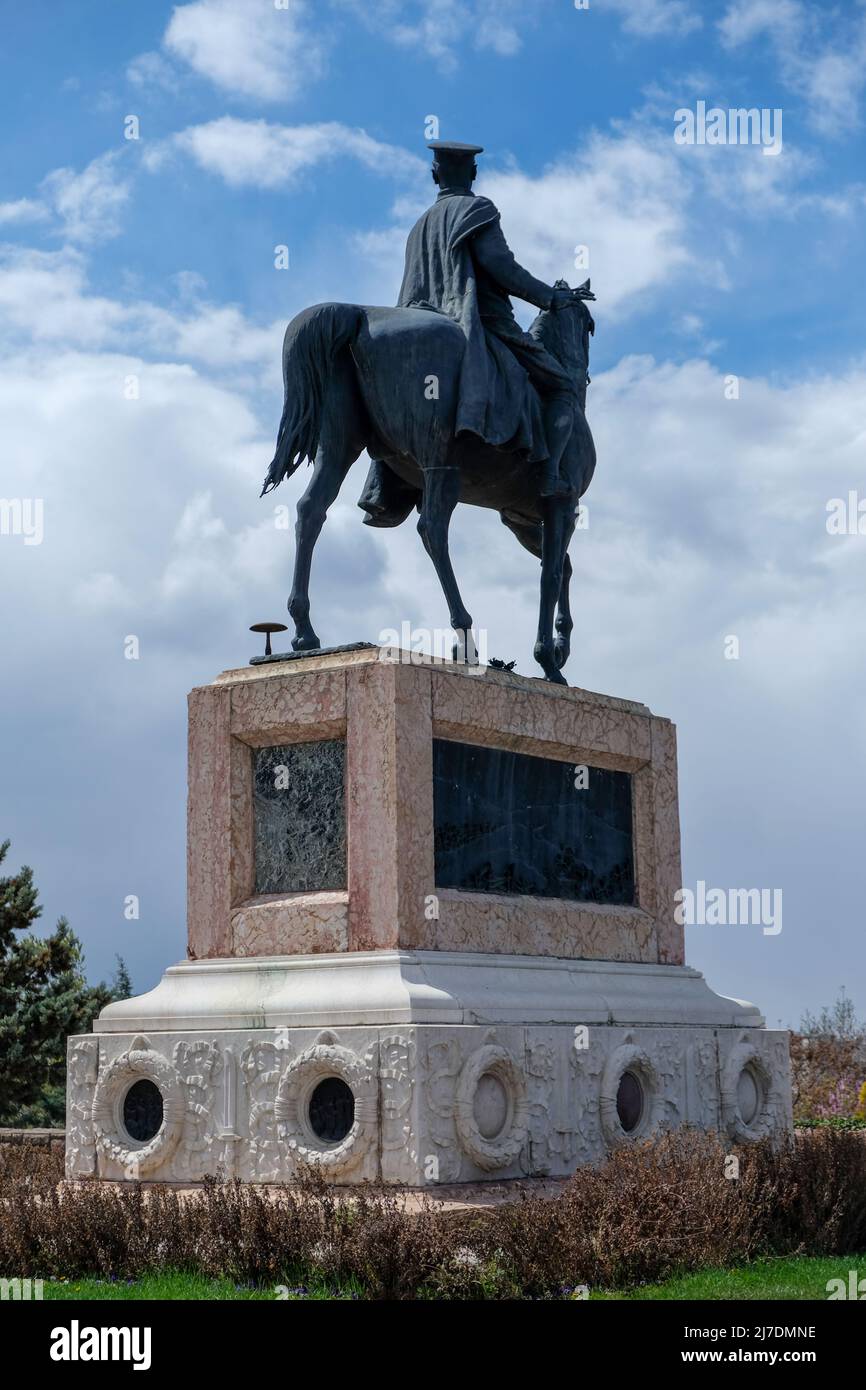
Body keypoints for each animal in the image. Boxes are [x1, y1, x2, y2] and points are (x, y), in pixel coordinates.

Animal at [262, 279, 594, 681]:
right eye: (589, 326)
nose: (584, 375)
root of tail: (358, 314)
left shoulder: (519, 517)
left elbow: (562, 565)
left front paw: (560, 648)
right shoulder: (562, 502)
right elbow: (552, 573)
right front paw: (549, 658)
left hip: (339, 446)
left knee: (310, 511)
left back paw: (305, 633)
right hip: (440, 463)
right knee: (433, 529)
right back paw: (465, 639)